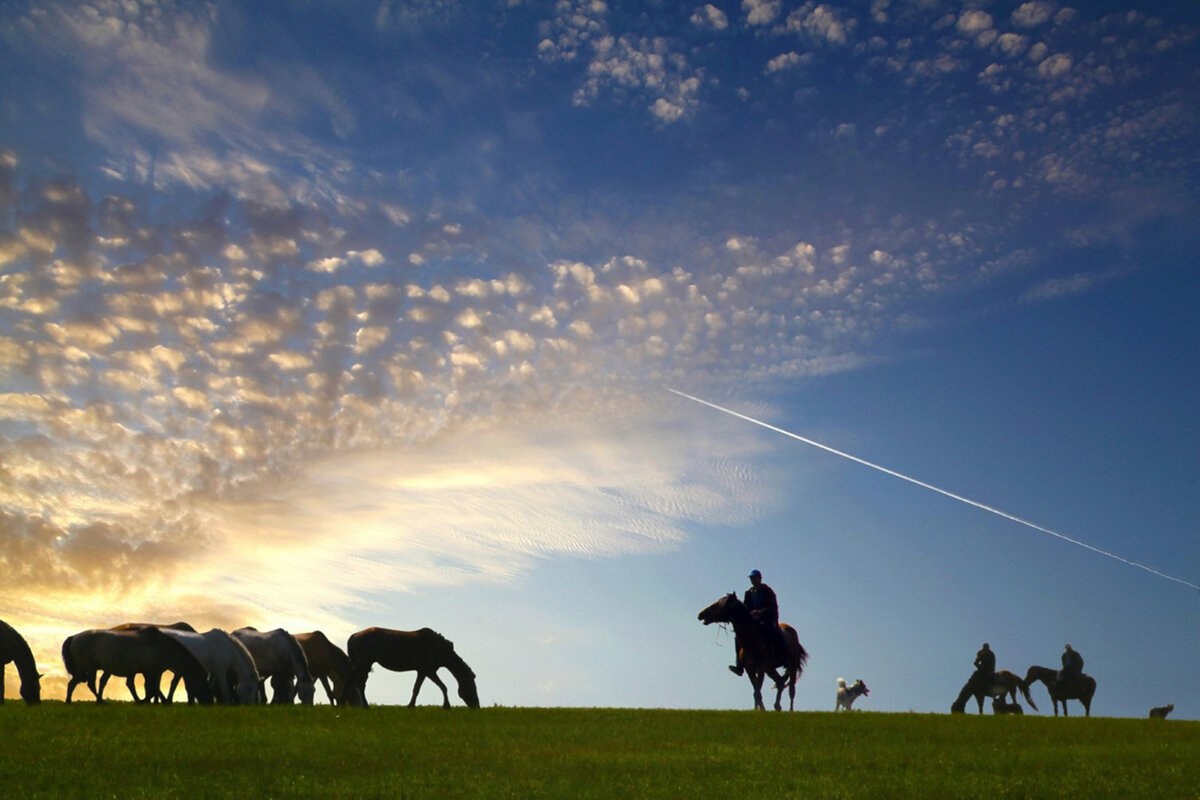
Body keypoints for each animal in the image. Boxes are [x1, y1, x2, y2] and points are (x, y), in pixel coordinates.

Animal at [62, 628, 212, 705]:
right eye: (204, 684)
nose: (209, 702)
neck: (163, 646)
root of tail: (74, 636)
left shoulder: (150, 671)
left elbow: (152, 688)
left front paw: (149, 701)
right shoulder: (152, 671)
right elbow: (152, 689)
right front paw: (153, 701)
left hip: (91, 669)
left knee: (89, 684)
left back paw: (98, 700)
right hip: (85, 668)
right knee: (74, 683)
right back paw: (71, 701)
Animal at [348, 628, 477, 710]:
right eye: (472, 687)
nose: (477, 706)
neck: (439, 648)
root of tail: (354, 636)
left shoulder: (422, 671)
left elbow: (416, 689)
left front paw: (411, 706)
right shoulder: (428, 671)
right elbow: (443, 687)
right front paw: (447, 706)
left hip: (362, 666)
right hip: (363, 665)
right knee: (359, 684)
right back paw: (365, 706)